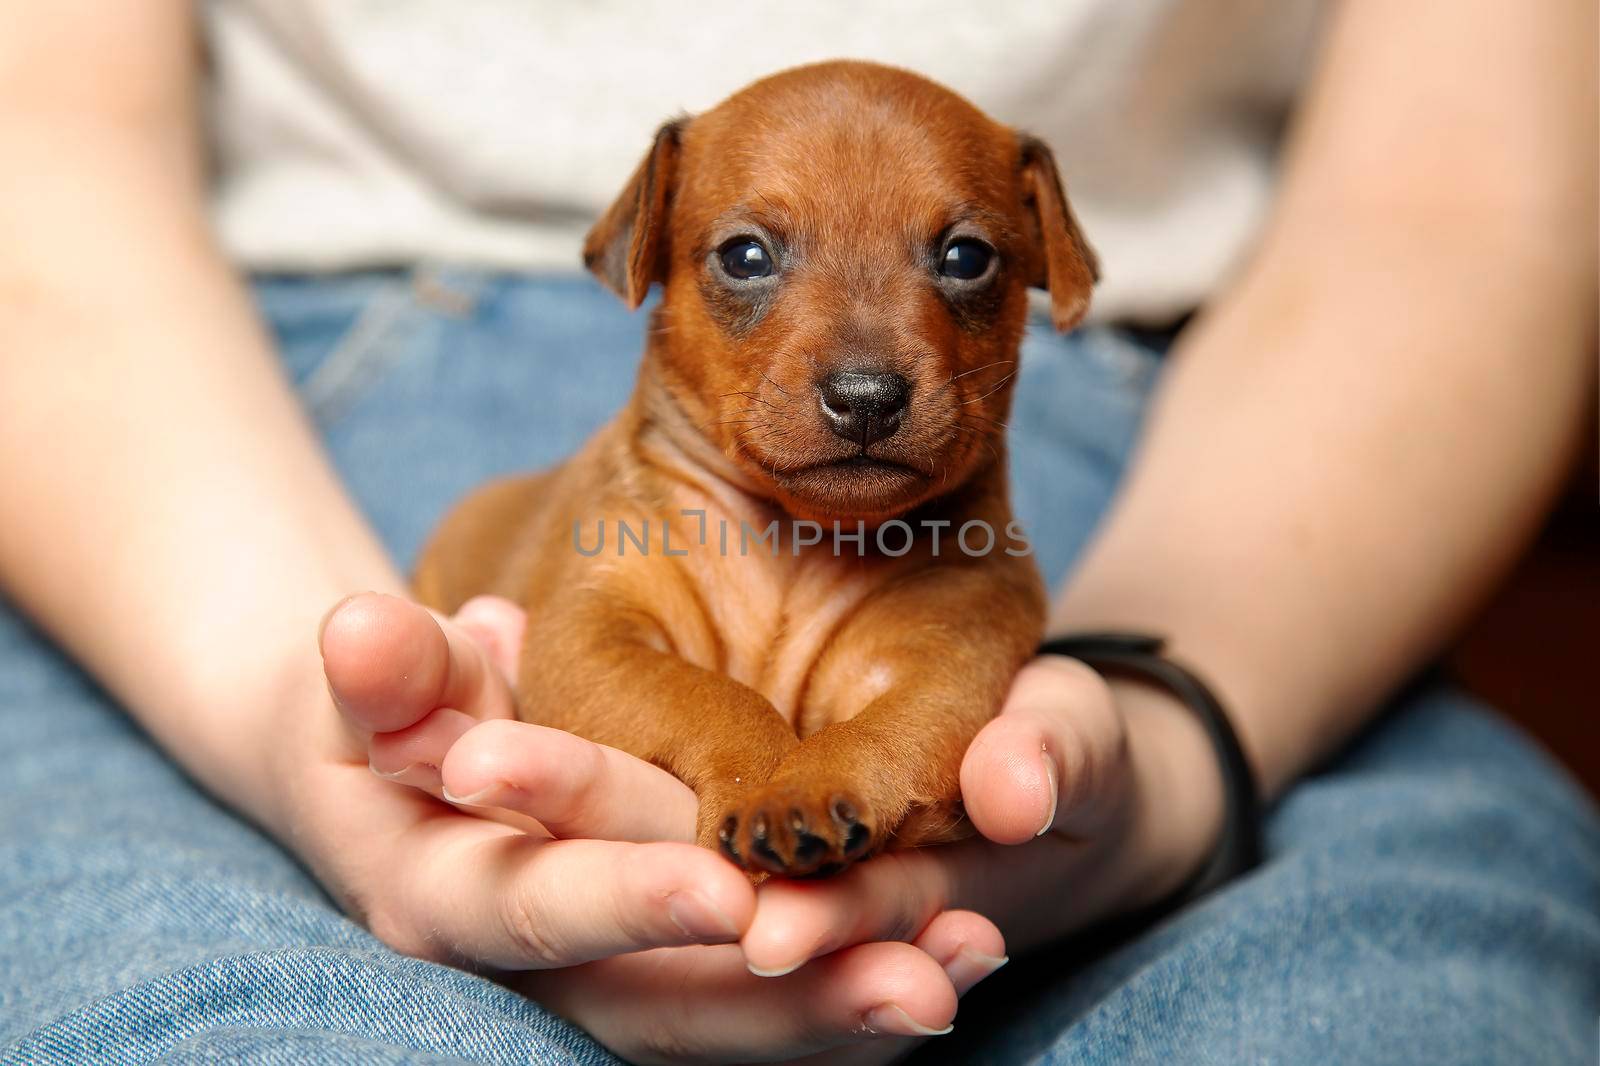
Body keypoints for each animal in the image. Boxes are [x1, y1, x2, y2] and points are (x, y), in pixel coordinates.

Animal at [409, 60, 1100, 870]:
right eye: (746, 256)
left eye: (967, 258)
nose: (865, 397)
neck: (794, 548)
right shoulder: (587, 639)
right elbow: (711, 696)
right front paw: (759, 773)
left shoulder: (949, 653)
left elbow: (893, 724)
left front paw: (809, 784)